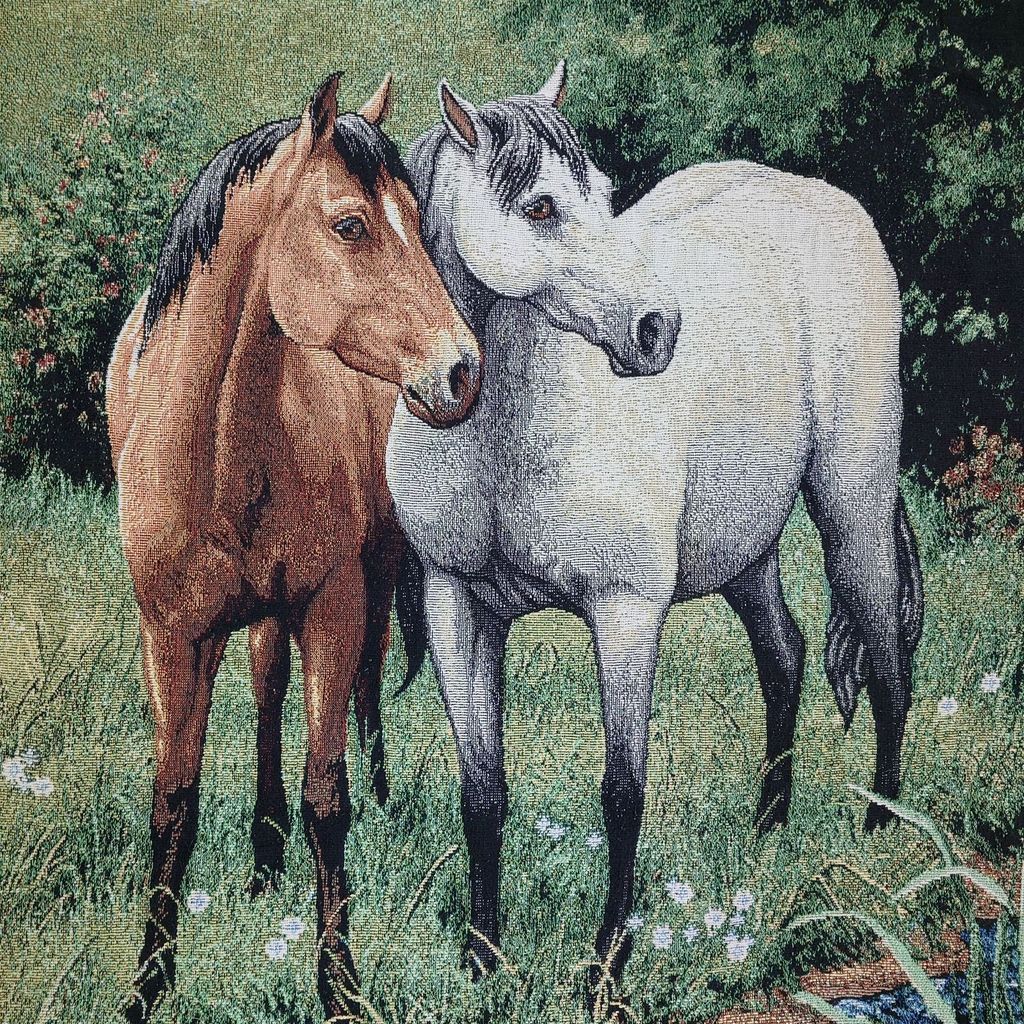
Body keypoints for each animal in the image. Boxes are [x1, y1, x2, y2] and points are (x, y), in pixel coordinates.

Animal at [106, 73, 480, 1023]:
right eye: (350, 225)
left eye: (416, 219)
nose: (462, 371)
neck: (211, 447)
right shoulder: (171, 638)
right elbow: (172, 804)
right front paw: (149, 983)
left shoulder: (331, 609)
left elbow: (327, 796)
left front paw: (339, 984)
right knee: (268, 688)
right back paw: (263, 857)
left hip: (358, 585)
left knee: (342, 688)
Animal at [385, 61, 924, 1010]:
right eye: (540, 208)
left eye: (604, 194)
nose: (657, 331)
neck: (506, 436)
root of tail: (818, 198)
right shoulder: (457, 606)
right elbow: (481, 788)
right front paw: (485, 958)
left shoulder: (627, 611)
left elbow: (622, 790)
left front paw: (607, 966)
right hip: (745, 551)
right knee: (784, 655)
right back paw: (766, 837)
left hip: (850, 508)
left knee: (887, 665)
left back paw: (877, 845)